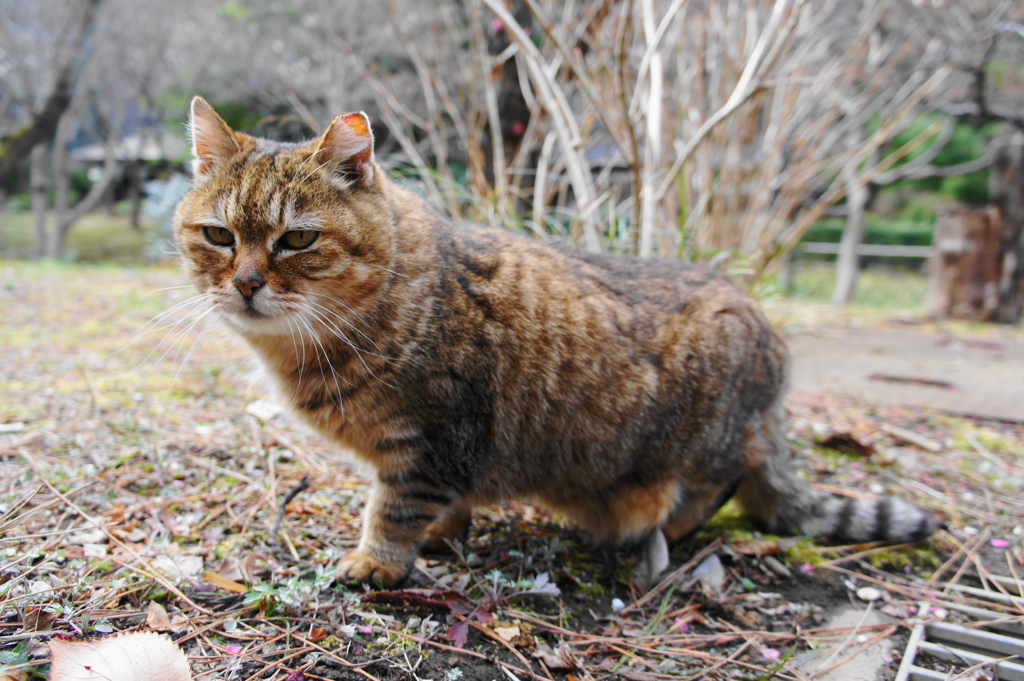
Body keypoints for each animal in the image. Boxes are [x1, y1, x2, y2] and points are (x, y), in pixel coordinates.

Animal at [172, 96, 937, 589]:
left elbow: (394, 508)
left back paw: (661, 528)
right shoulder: (448, 453)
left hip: (699, 441)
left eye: (296, 239)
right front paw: (443, 536)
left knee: (720, 486)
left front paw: (379, 560)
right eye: (219, 235)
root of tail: (768, 333)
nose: (245, 283)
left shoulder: (433, 438)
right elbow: (444, 506)